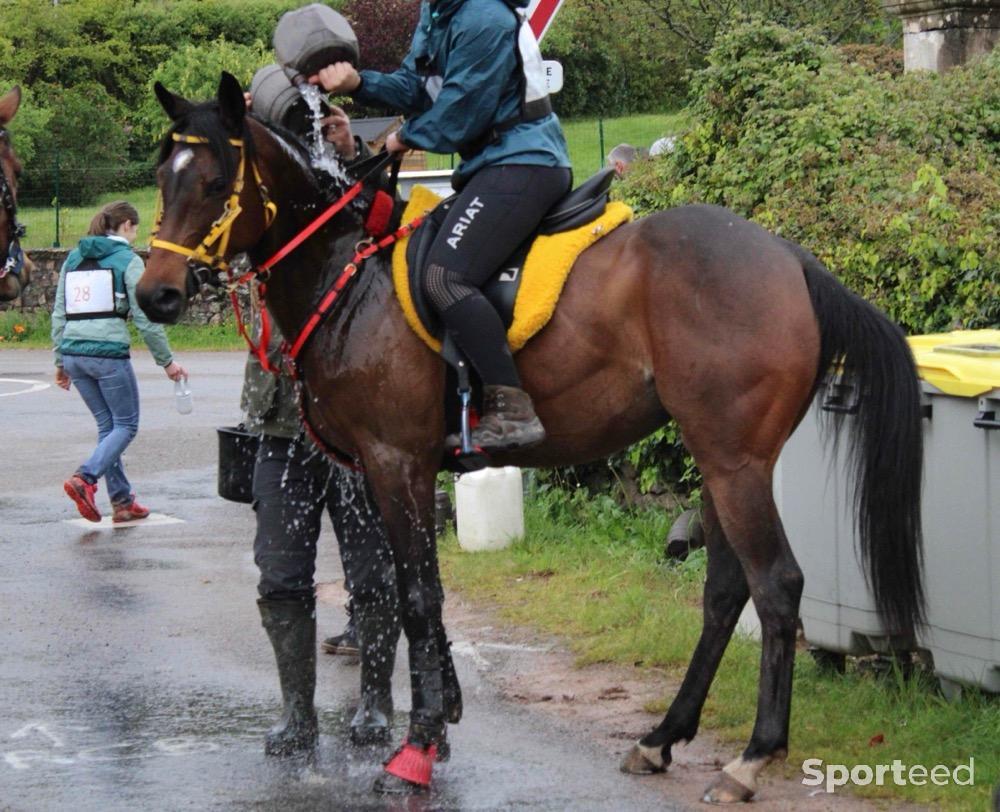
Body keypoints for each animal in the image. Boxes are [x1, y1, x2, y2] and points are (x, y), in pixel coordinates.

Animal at [137, 74, 924, 800]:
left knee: (777, 585)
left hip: (736, 463)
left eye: (214, 182)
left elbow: (416, 596)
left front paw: (416, 749)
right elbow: (415, 589)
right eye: (161, 176)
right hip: (720, 461)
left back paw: (752, 757)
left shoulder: (397, 464)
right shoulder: (385, 472)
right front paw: (440, 718)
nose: (155, 294)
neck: (347, 270)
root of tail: (791, 259)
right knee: (727, 591)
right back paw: (663, 737)